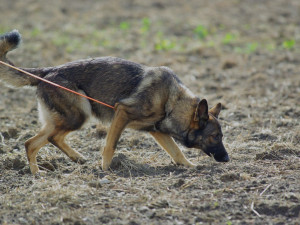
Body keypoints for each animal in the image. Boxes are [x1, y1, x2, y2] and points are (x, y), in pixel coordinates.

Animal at [0, 29, 230, 174]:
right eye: (215, 137)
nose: (227, 159)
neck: (172, 104)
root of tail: (48, 71)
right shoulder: (122, 113)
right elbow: (110, 145)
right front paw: (105, 169)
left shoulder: (157, 131)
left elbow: (177, 152)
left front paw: (190, 166)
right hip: (78, 115)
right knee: (47, 139)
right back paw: (48, 169)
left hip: (63, 119)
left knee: (34, 142)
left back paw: (46, 170)